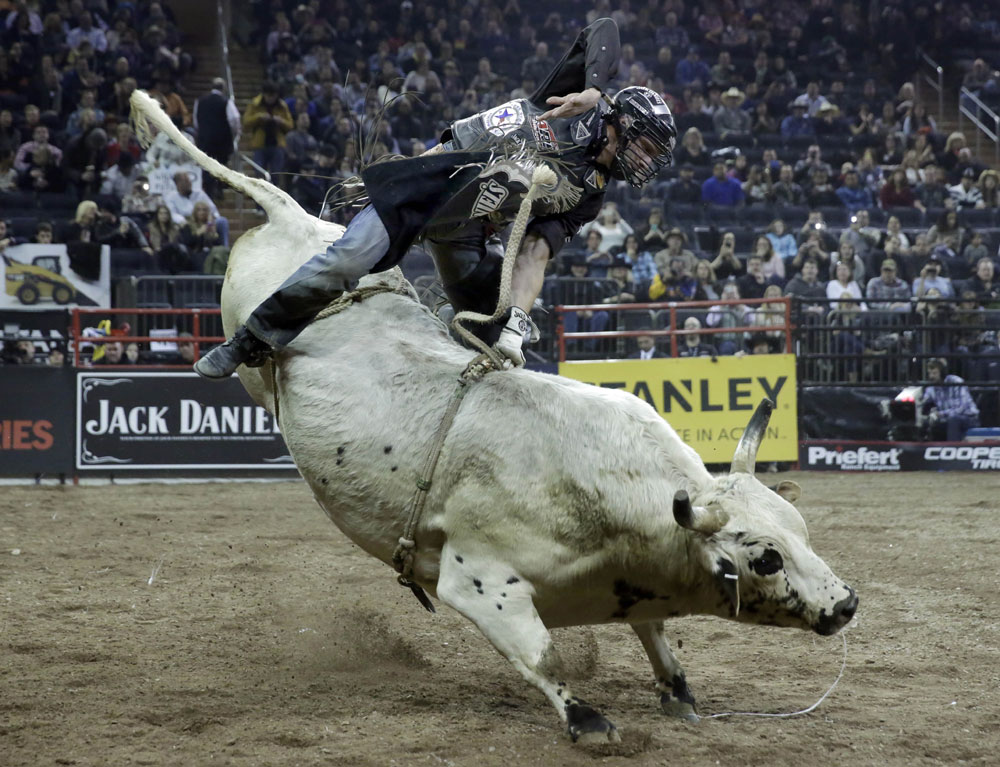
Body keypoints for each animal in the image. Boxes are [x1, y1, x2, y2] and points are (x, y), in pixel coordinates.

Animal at [130, 91, 858, 744]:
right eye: (765, 557)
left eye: (800, 529)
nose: (846, 602)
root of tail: (290, 218)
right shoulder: (479, 582)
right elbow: (542, 655)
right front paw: (589, 721)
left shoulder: (631, 584)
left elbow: (653, 632)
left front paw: (677, 691)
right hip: (292, 320)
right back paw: (233, 346)